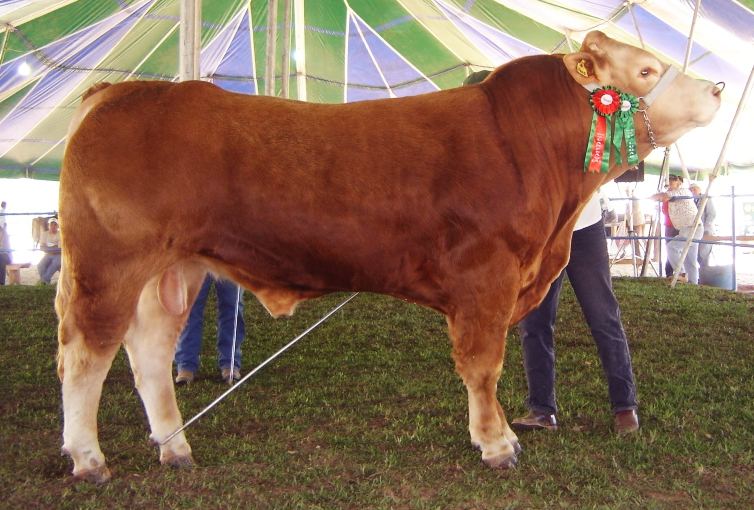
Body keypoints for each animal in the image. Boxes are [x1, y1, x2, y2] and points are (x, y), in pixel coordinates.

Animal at [57, 31, 716, 482]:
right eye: (647, 68)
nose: (717, 86)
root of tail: (120, 91)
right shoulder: (487, 277)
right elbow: (483, 366)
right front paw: (497, 444)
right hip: (108, 266)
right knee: (86, 356)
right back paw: (90, 459)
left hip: (173, 270)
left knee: (148, 355)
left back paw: (175, 448)